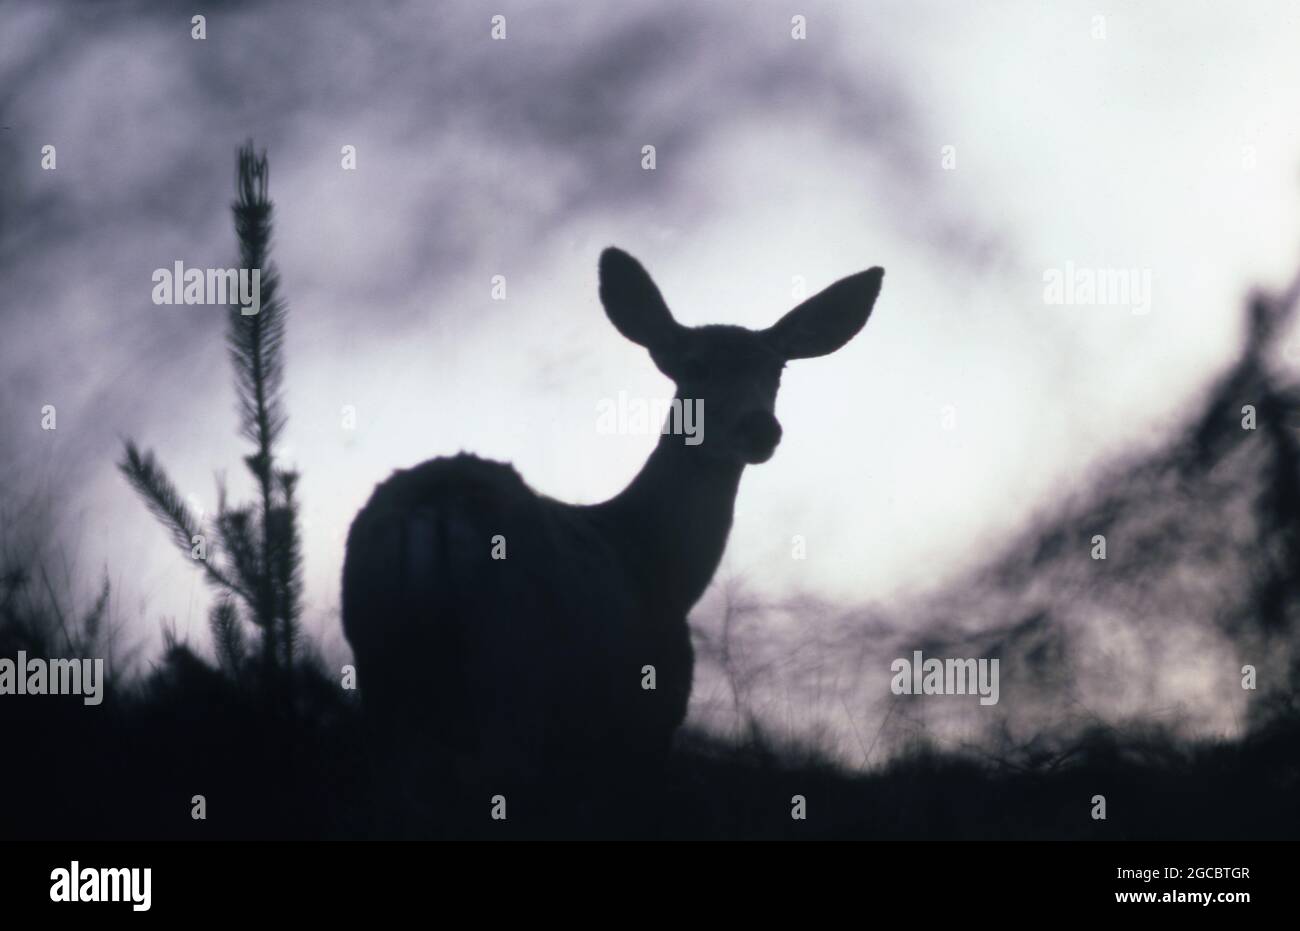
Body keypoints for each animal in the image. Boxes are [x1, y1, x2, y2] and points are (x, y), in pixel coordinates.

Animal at [340, 250, 883, 811]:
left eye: (776, 368)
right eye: (694, 365)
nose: (759, 429)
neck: (654, 562)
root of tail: (432, 509)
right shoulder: (646, 718)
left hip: (381, 672)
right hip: (511, 670)